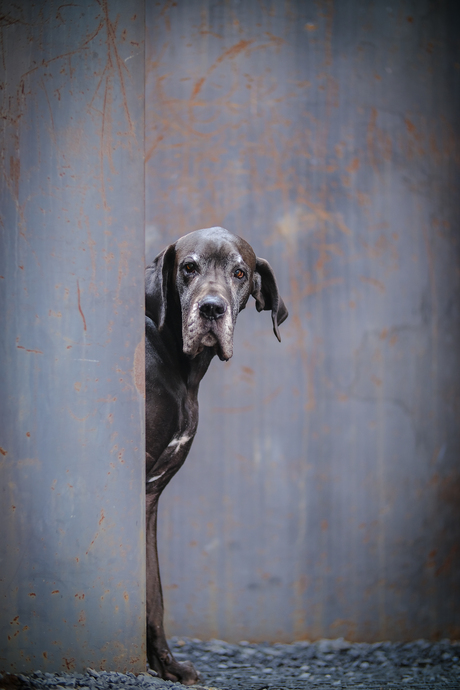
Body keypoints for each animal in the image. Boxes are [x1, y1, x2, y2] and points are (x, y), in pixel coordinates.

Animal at [145, 227, 288, 684]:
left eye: (239, 273)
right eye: (189, 267)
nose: (211, 308)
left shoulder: (149, 498)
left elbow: (153, 592)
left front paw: (166, 665)